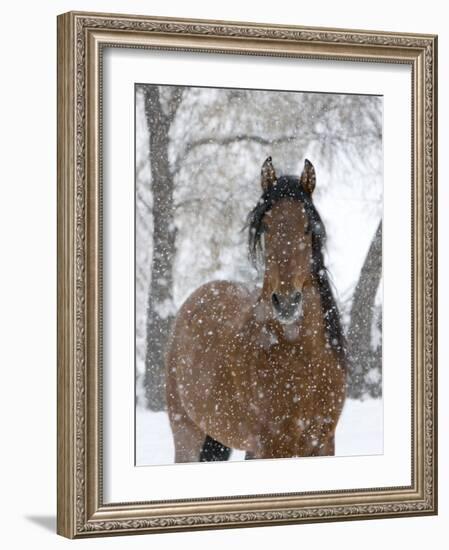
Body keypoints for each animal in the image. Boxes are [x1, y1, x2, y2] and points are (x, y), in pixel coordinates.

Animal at [164, 157, 346, 464]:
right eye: (266, 227)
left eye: (308, 227)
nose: (286, 302)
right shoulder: (271, 447)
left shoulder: (323, 444)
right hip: (187, 433)